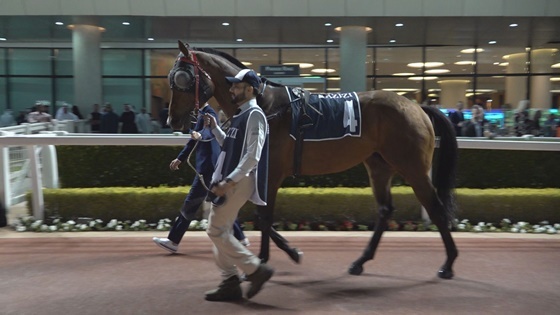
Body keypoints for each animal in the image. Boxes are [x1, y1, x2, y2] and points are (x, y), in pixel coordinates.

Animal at [167, 41, 460, 278]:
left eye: (182, 78)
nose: (172, 119)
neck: (265, 107)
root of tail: (416, 106)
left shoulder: (271, 173)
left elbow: (264, 216)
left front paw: (267, 258)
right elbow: (261, 217)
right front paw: (289, 252)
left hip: (413, 168)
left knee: (435, 207)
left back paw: (448, 264)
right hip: (379, 165)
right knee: (385, 210)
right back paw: (360, 262)